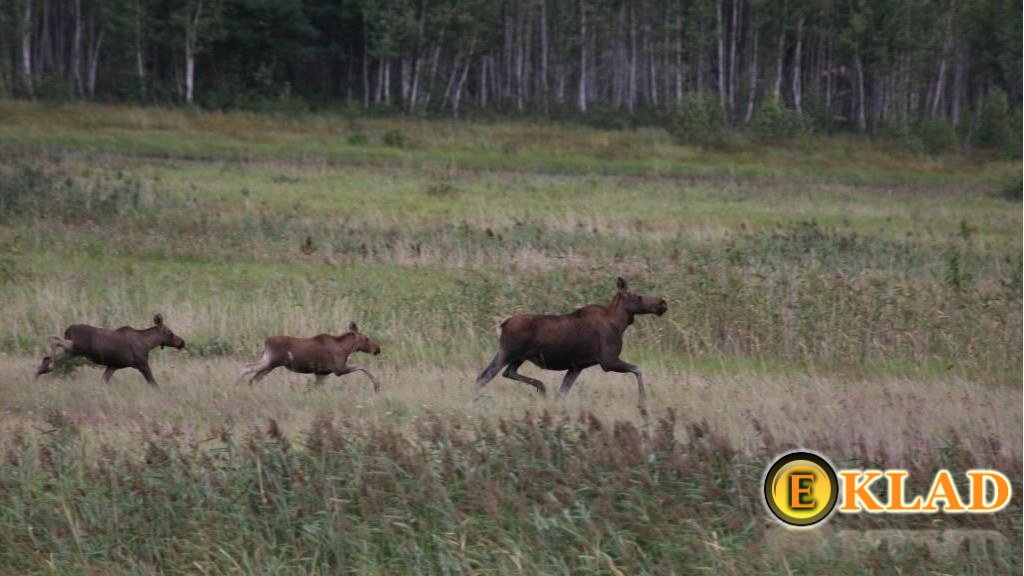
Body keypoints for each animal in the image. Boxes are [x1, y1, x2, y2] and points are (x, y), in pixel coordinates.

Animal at [35, 313, 187, 385]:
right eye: (170, 332)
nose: (182, 342)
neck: (148, 344)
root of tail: (67, 329)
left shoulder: (113, 366)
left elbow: (102, 381)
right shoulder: (142, 364)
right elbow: (153, 383)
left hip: (72, 351)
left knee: (48, 355)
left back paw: (41, 370)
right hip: (77, 346)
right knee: (54, 339)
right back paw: (47, 368)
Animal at [239, 323, 385, 389]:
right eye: (366, 338)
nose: (377, 348)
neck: (346, 348)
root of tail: (266, 341)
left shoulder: (321, 373)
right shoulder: (339, 369)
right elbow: (361, 366)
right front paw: (376, 385)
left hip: (269, 362)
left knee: (253, 375)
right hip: (272, 361)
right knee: (247, 369)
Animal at [475, 274, 667, 401]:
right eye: (638, 296)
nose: (662, 303)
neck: (620, 323)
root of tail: (503, 324)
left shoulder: (577, 366)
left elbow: (562, 393)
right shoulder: (607, 360)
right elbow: (637, 369)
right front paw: (642, 399)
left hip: (516, 356)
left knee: (507, 372)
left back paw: (541, 387)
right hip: (509, 351)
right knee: (485, 376)